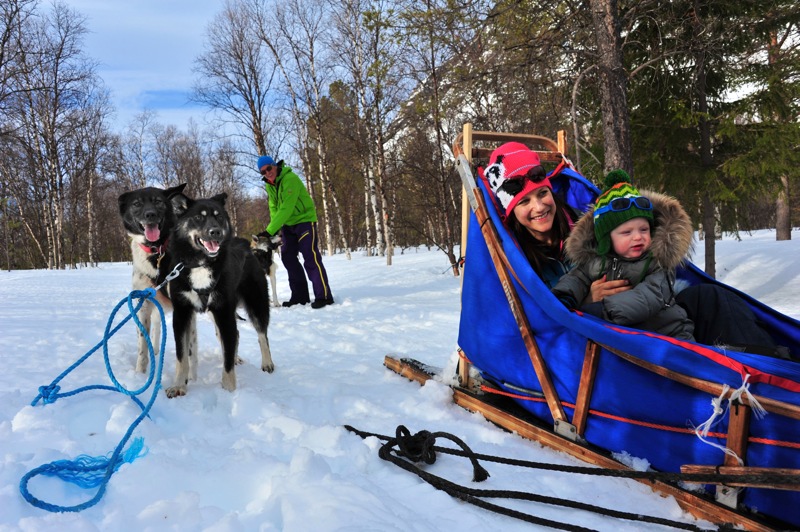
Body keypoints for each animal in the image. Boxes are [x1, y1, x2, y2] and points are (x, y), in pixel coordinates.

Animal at [119, 185, 189, 372]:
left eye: (158, 201)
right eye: (136, 204)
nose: (150, 214)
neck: (156, 252)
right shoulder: (143, 305)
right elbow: (143, 343)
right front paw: (140, 373)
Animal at [164, 193, 274, 396]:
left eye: (219, 217)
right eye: (198, 217)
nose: (216, 232)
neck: (200, 263)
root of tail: (246, 247)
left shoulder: (223, 312)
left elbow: (228, 361)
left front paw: (229, 391)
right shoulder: (182, 313)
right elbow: (181, 356)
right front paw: (179, 385)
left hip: (256, 304)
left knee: (262, 335)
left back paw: (267, 363)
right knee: (235, 336)